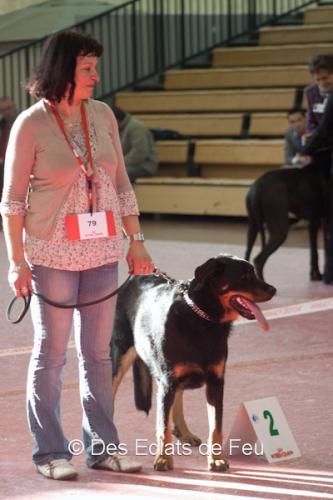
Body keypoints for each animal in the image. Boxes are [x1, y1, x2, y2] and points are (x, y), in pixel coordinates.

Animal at [110, 256, 274, 470]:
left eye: (253, 273)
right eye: (244, 276)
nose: (273, 289)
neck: (203, 320)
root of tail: (134, 278)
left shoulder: (215, 382)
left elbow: (216, 426)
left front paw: (217, 458)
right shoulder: (168, 381)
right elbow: (163, 426)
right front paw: (163, 458)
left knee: (177, 401)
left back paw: (185, 433)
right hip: (120, 355)